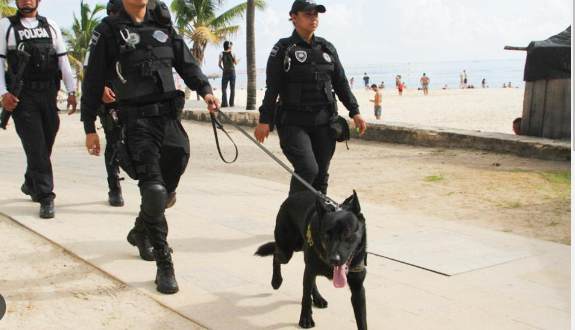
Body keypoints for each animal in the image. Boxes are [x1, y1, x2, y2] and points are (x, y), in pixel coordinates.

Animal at [256, 189, 368, 328]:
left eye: (347, 233)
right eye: (326, 235)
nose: (333, 260)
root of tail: (295, 195)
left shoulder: (358, 289)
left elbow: (362, 320)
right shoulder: (309, 270)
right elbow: (306, 297)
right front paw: (305, 318)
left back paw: (318, 298)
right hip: (287, 251)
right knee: (276, 256)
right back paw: (276, 281)